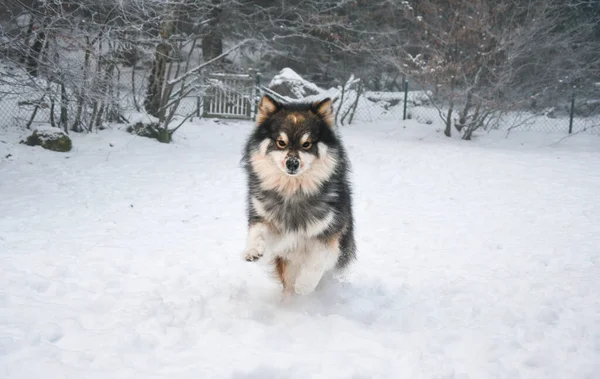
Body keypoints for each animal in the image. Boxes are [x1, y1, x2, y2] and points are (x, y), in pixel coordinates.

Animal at [240, 95, 354, 296]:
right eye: (281, 142)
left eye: (306, 144)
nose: (292, 163)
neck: (293, 192)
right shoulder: (266, 220)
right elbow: (257, 231)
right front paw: (253, 250)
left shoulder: (329, 234)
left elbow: (318, 260)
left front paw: (305, 284)